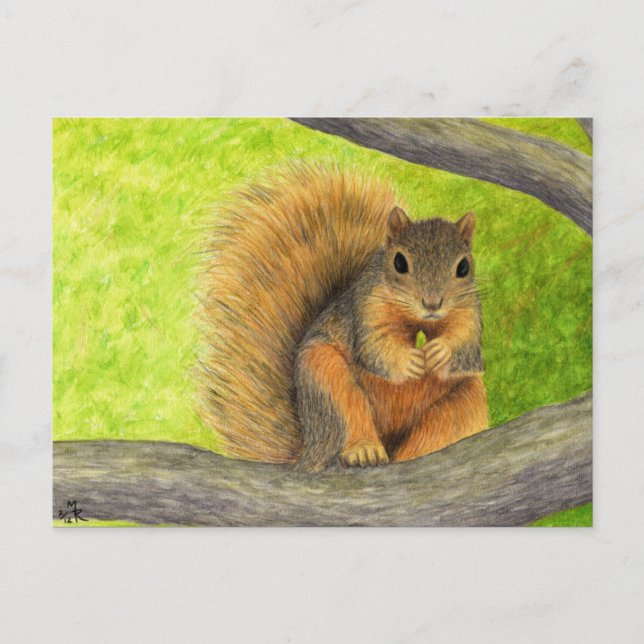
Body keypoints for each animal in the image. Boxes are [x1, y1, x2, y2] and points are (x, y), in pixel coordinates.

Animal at [199, 163, 488, 472]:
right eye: (399, 262)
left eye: (463, 267)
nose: (432, 303)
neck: (418, 319)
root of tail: (310, 451)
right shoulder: (366, 307)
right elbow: (376, 346)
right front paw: (409, 360)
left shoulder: (468, 310)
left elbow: (466, 344)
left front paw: (439, 352)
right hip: (326, 380)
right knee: (349, 412)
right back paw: (363, 450)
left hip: (464, 402)